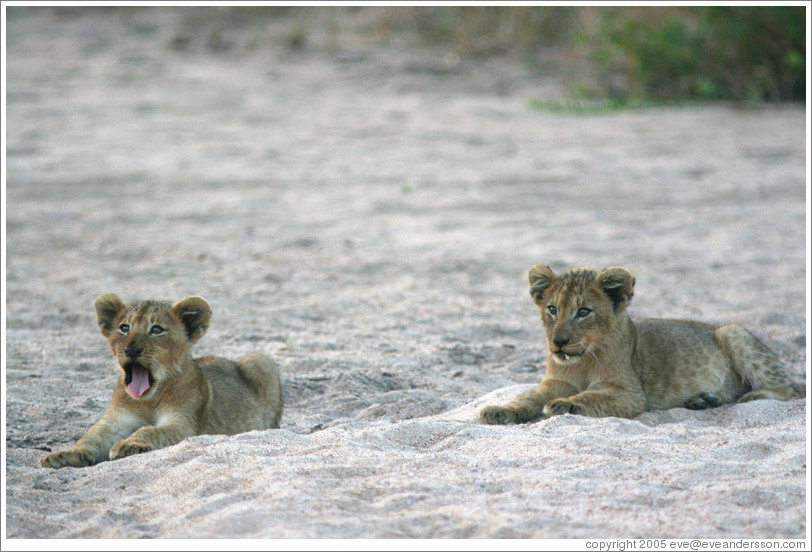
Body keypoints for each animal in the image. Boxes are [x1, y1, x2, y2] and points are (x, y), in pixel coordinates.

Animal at [40, 294, 283, 468]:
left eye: (156, 329)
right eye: (124, 328)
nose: (131, 349)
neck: (148, 399)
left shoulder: (183, 423)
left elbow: (151, 430)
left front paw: (129, 444)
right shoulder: (115, 421)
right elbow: (90, 437)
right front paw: (62, 455)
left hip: (259, 360)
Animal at [480, 265, 804, 424]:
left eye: (583, 312)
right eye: (552, 309)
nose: (558, 342)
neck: (582, 360)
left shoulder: (629, 393)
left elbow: (590, 397)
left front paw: (565, 405)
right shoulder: (555, 382)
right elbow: (527, 397)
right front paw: (499, 411)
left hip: (731, 332)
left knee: (787, 389)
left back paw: (753, 396)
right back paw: (702, 400)